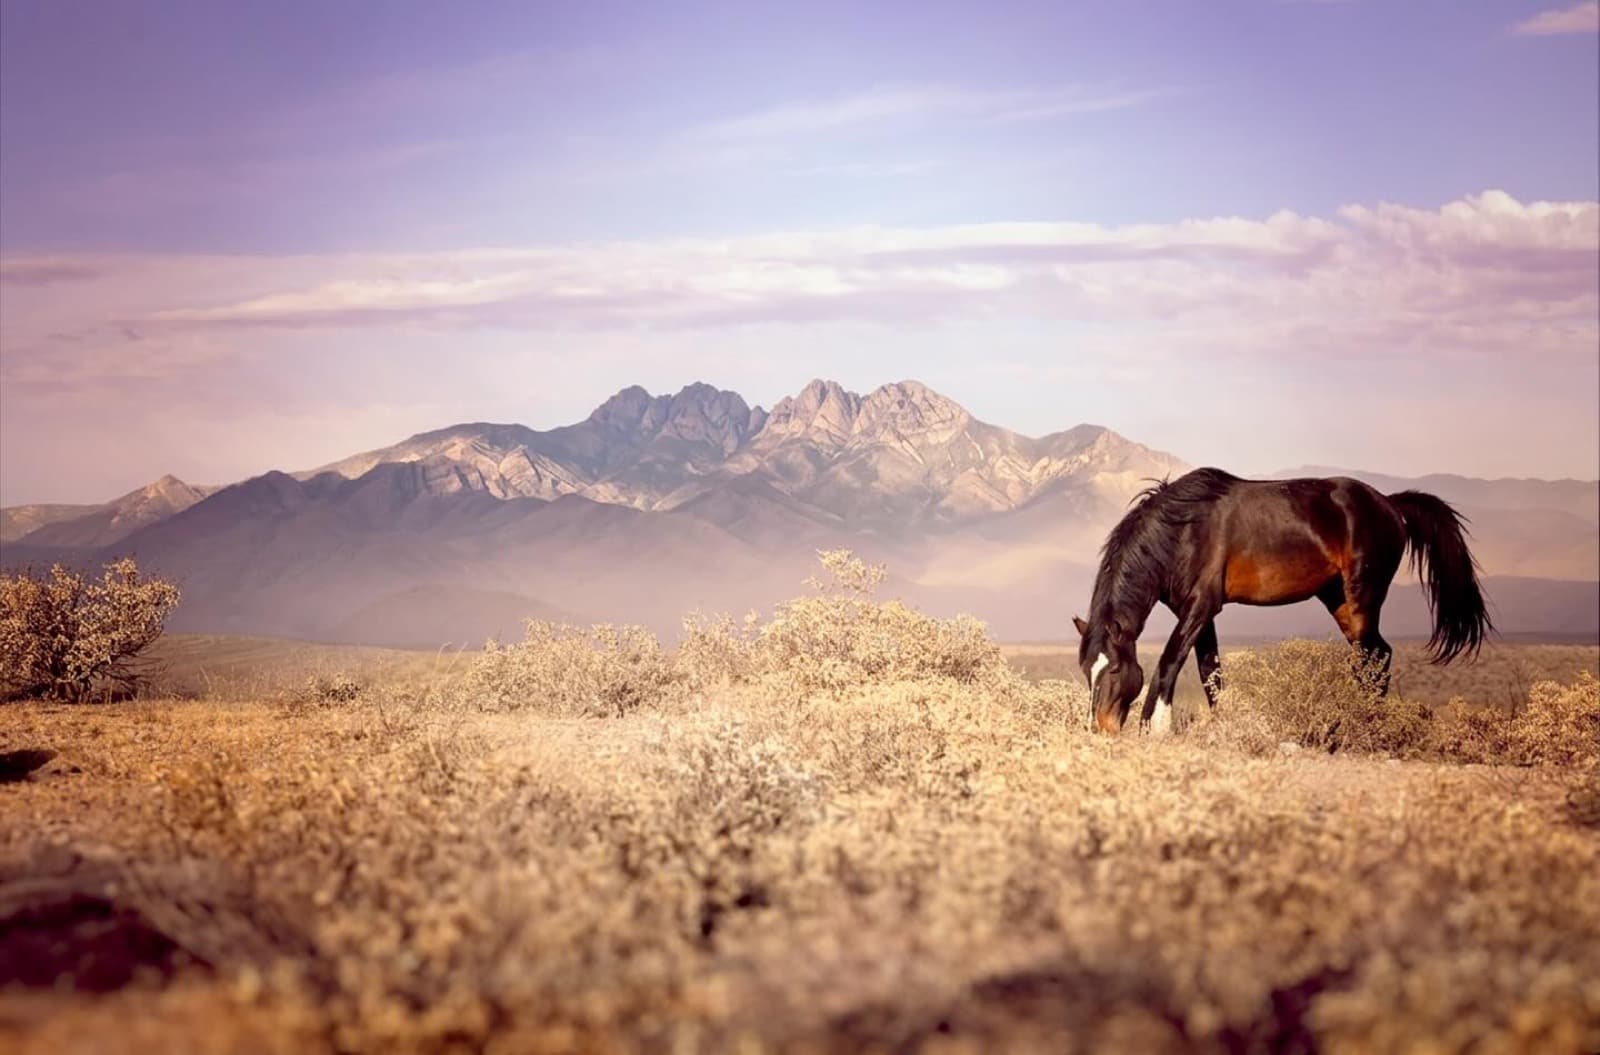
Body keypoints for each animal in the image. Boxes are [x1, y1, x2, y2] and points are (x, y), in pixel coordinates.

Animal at [1072, 467, 1492, 735]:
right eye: (1087, 670)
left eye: (1113, 670)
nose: (1100, 729)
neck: (1182, 530)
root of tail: (1388, 504)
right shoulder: (1198, 613)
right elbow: (1211, 672)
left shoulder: (1201, 607)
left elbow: (1169, 660)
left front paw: (1155, 728)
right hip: (1337, 599)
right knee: (1375, 655)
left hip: (1363, 596)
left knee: (1375, 656)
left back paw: (1365, 723)